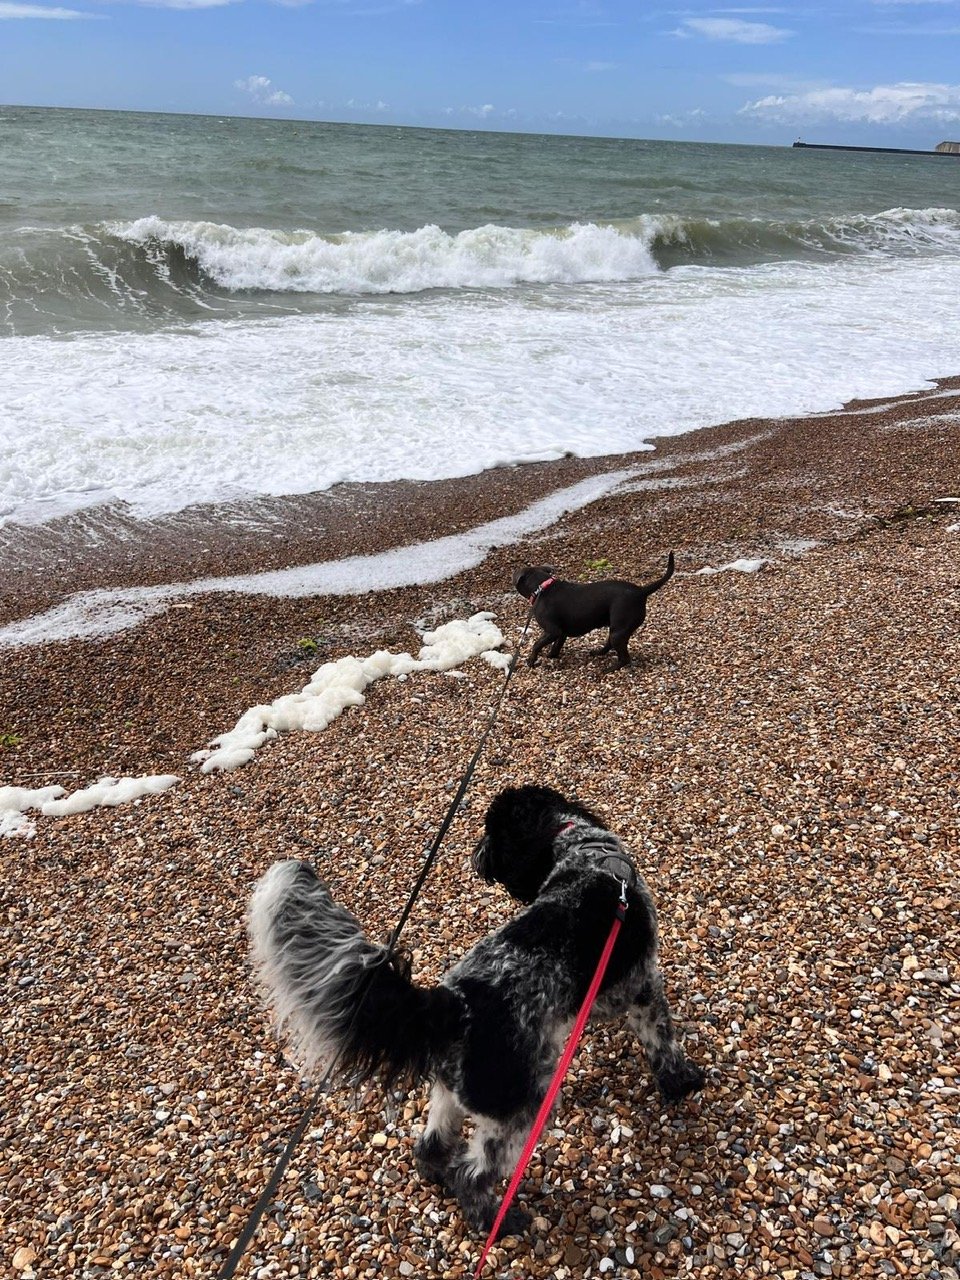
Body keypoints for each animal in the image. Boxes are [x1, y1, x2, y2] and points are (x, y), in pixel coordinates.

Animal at [248, 783, 706, 1233]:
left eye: (491, 833)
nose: (476, 855)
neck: (579, 845)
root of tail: (454, 1006)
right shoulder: (644, 988)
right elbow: (663, 1042)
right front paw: (682, 1082)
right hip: (522, 1108)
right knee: (474, 1174)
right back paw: (497, 1222)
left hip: (451, 1092)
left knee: (433, 1143)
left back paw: (435, 1173)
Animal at [514, 550, 680, 670]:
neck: (541, 587)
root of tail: (641, 591)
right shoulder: (561, 632)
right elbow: (557, 645)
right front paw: (551, 655)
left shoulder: (552, 631)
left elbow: (537, 644)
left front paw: (531, 660)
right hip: (617, 629)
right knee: (610, 645)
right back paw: (597, 653)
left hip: (618, 631)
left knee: (624, 658)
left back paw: (609, 669)